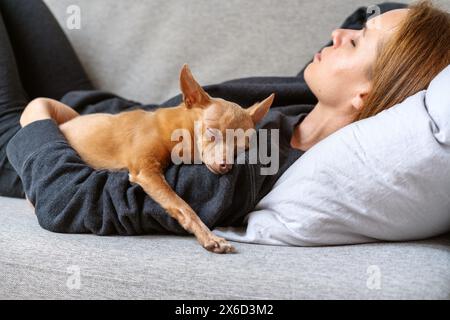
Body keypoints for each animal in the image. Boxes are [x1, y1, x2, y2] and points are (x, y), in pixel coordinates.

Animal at [58, 65, 272, 254]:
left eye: (243, 148)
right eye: (212, 133)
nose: (225, 166)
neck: (178, 132)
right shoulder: (146, 171)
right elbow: (182, 205)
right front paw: (208, 236)